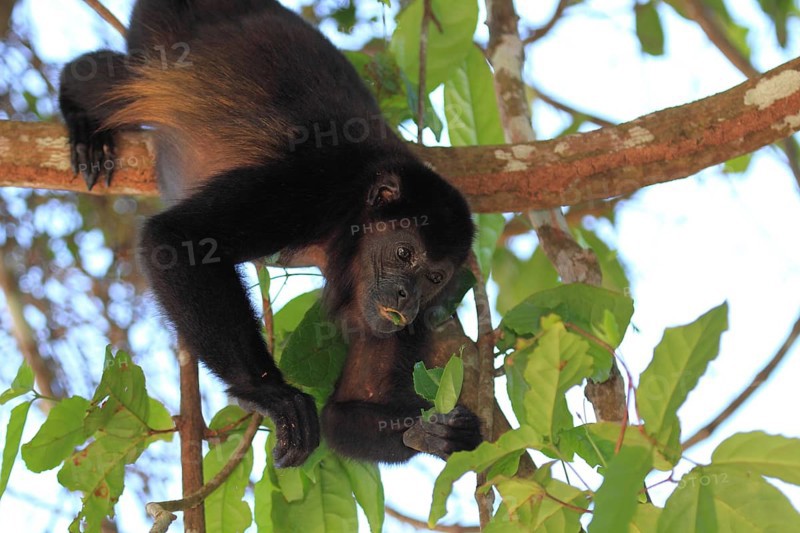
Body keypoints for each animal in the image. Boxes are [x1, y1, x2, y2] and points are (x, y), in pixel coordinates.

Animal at [59, 0, 482, 467]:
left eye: (435, 278)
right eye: (405, 253)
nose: (408, 297)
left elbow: (343, 411)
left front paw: (433, 432)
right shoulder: (313, 189)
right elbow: (178, 239)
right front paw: (271, 394)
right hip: (163, 30)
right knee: (125, 81)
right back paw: (81, 107)